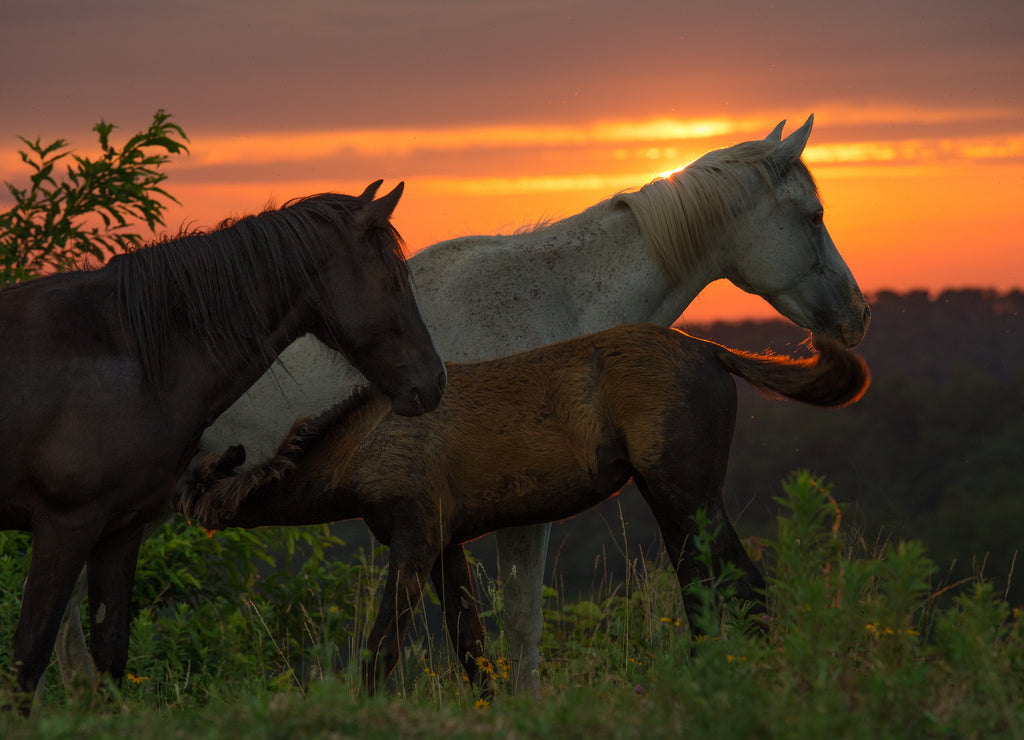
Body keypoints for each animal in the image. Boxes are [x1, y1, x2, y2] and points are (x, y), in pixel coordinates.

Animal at [1, 182, 448, 716]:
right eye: (395, 280)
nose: (435, 381)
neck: (128, 354)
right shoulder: (65, 525)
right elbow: (29, 655)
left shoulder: (119, 531)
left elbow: (109, 653)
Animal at [180, 323, 868, 695]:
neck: (363, 447)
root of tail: (711, 351)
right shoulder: (444, 542)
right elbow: (471, 646)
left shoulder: (413, 537)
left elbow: (383, 649)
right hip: (671, 501)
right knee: (702, 591)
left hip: (689, 493)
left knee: (746, 588)